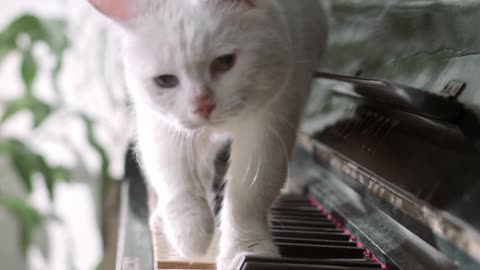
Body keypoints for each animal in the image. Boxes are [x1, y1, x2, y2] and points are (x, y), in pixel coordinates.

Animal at [88, 0, 328, 268]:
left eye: (225, 62)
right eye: (165, 81)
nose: (203, 106)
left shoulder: (270, 124)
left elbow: (248, 197)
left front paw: (246, 250)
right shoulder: (162, 127)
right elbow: (176, 179)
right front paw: (191, 236)